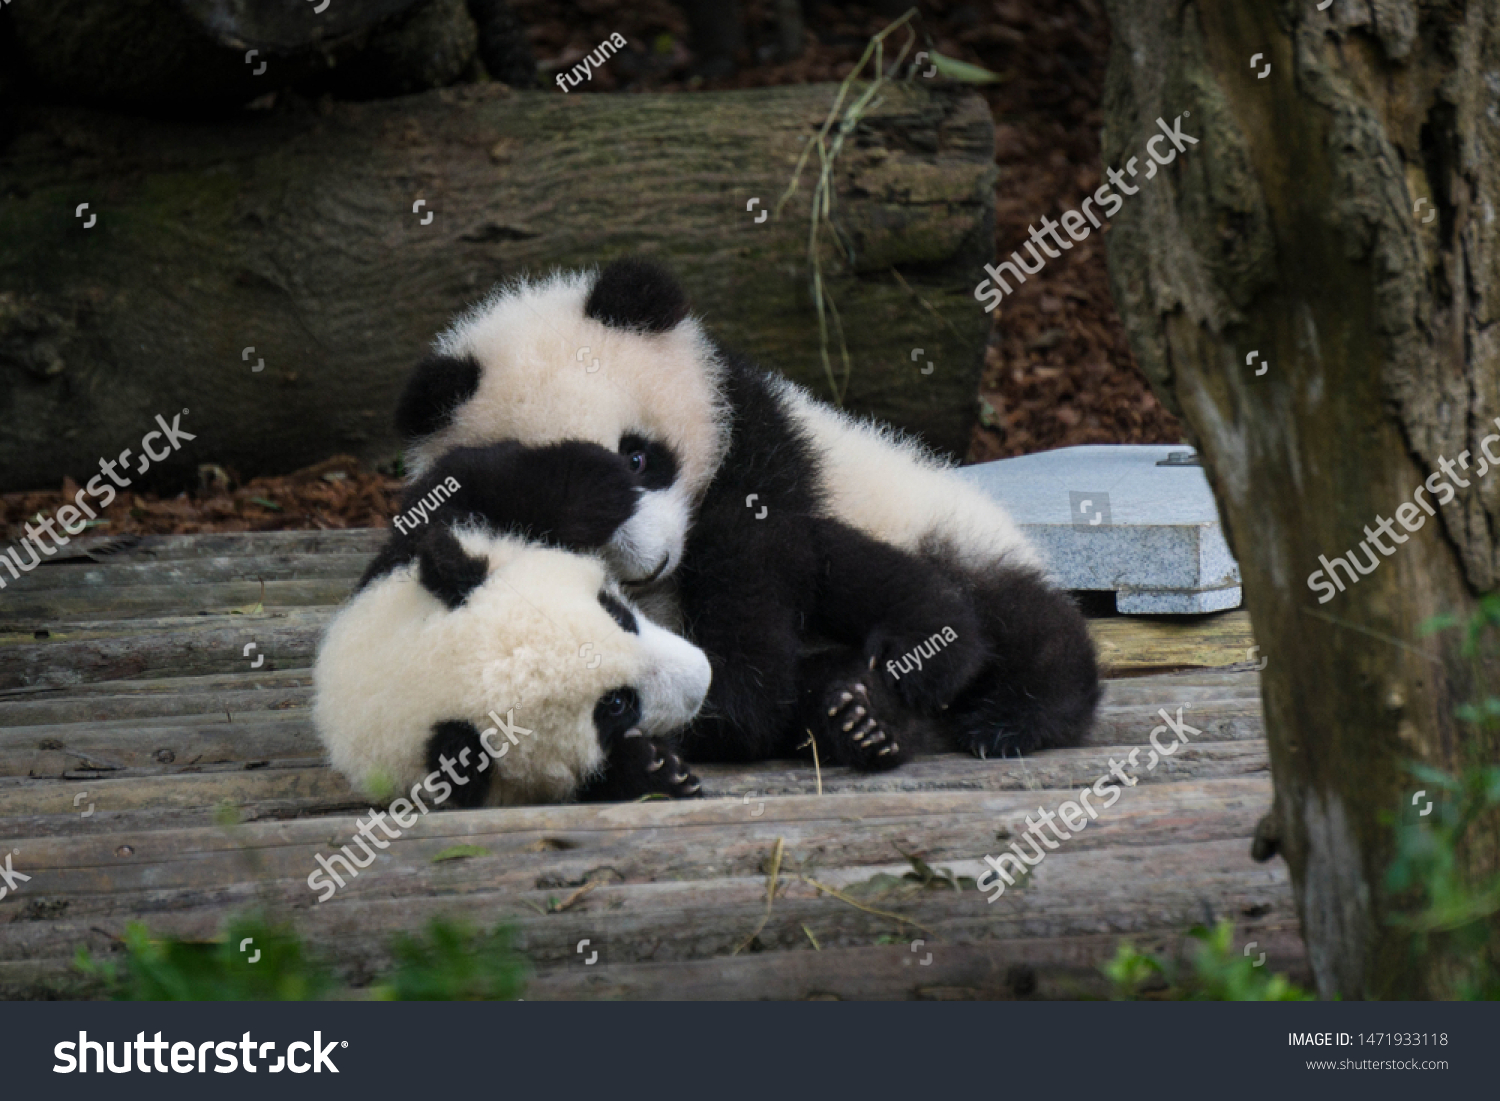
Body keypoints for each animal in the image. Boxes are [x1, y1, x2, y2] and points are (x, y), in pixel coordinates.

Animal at [313, 441, 711, 810]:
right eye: (615, 705)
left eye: (617, 613)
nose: (703, 679)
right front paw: (657, 770)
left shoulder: (408, 553)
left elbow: (469, 479)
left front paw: (607, 479)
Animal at [393, 258, 1098, 774]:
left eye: (640, 456)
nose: (649, 566)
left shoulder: (760, 438)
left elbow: (752, 554)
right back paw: (858, 720)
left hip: (935, 521)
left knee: (1015, 614)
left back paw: (1007, 714)